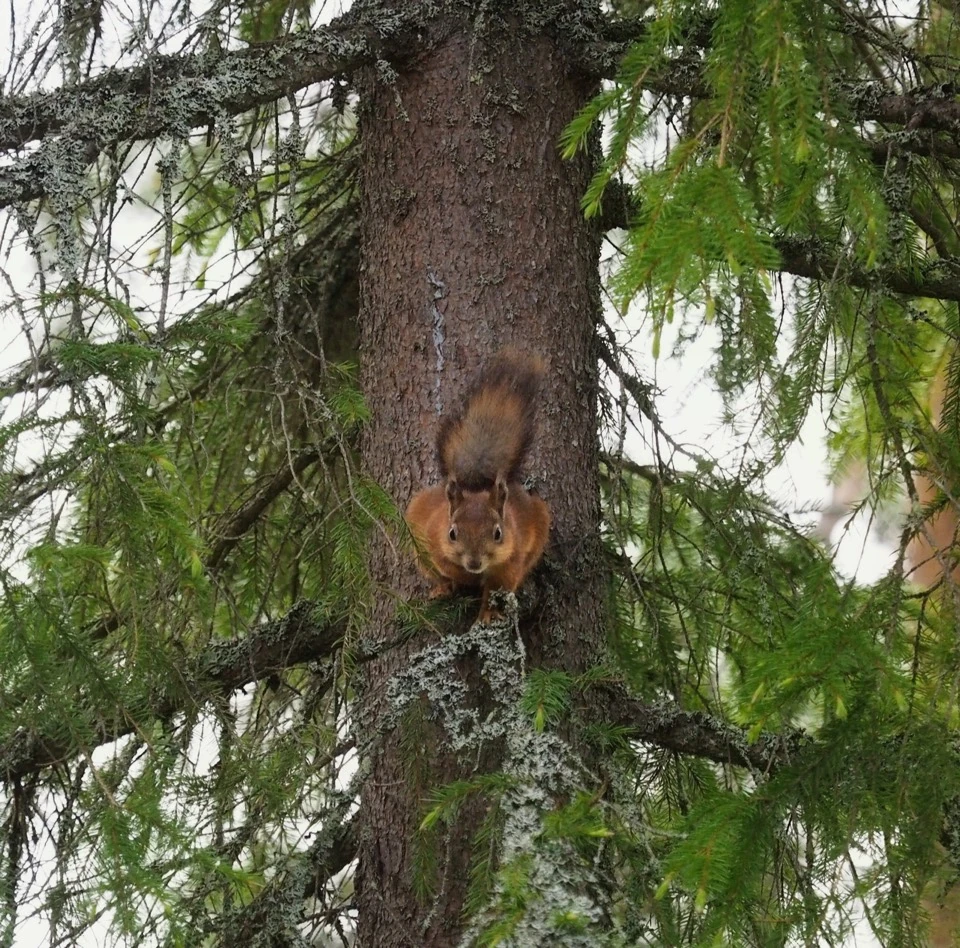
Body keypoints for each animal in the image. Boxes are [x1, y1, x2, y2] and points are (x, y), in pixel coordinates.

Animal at [405, 350, 551, 623]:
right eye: (452, 533)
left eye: (498, 533)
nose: (474, 563)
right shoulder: (432, 540)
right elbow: (446, 566)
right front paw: (462, 578)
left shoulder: (511, 559)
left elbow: (498, 586)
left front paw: (490, 614)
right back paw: (442, 588)